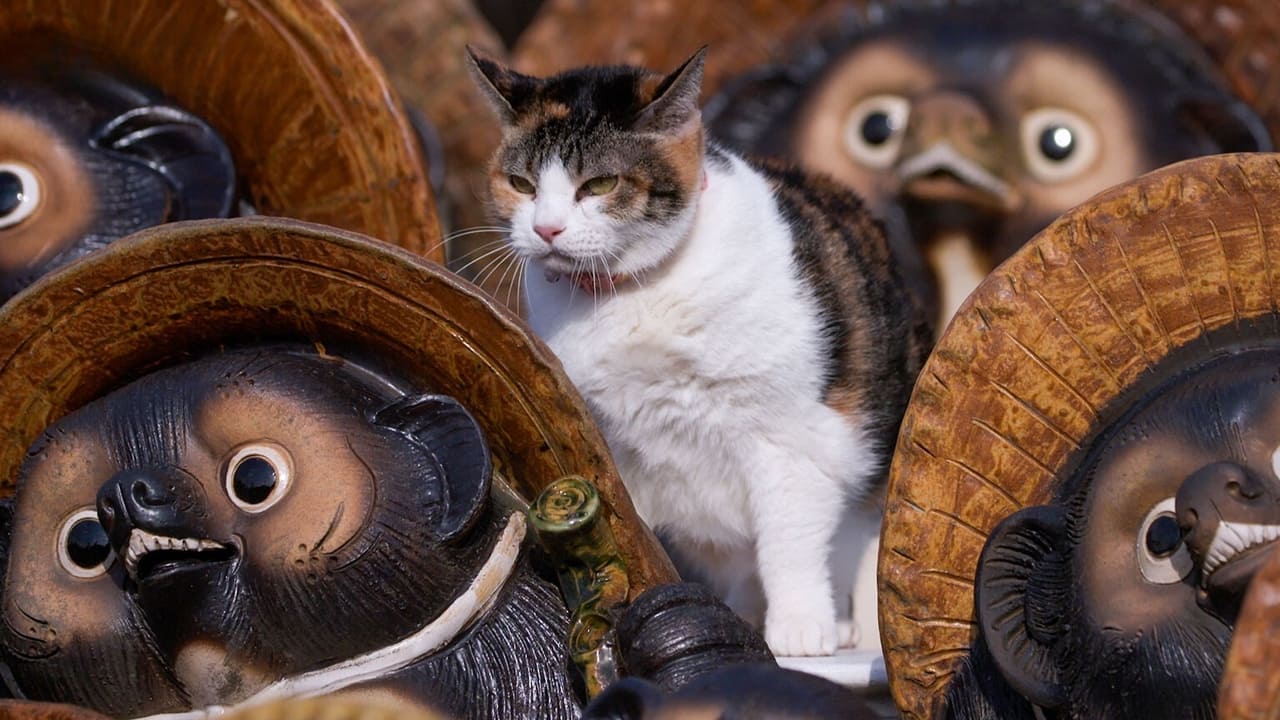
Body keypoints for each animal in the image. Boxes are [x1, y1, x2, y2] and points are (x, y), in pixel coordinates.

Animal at [465, 47, 926, 653]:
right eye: (520, 183)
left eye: (600, 184)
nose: (546, 229)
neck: (632, 294)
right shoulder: (613, 447)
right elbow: (636, 534)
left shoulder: (792, 440)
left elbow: (789, 545)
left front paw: (799, 629)